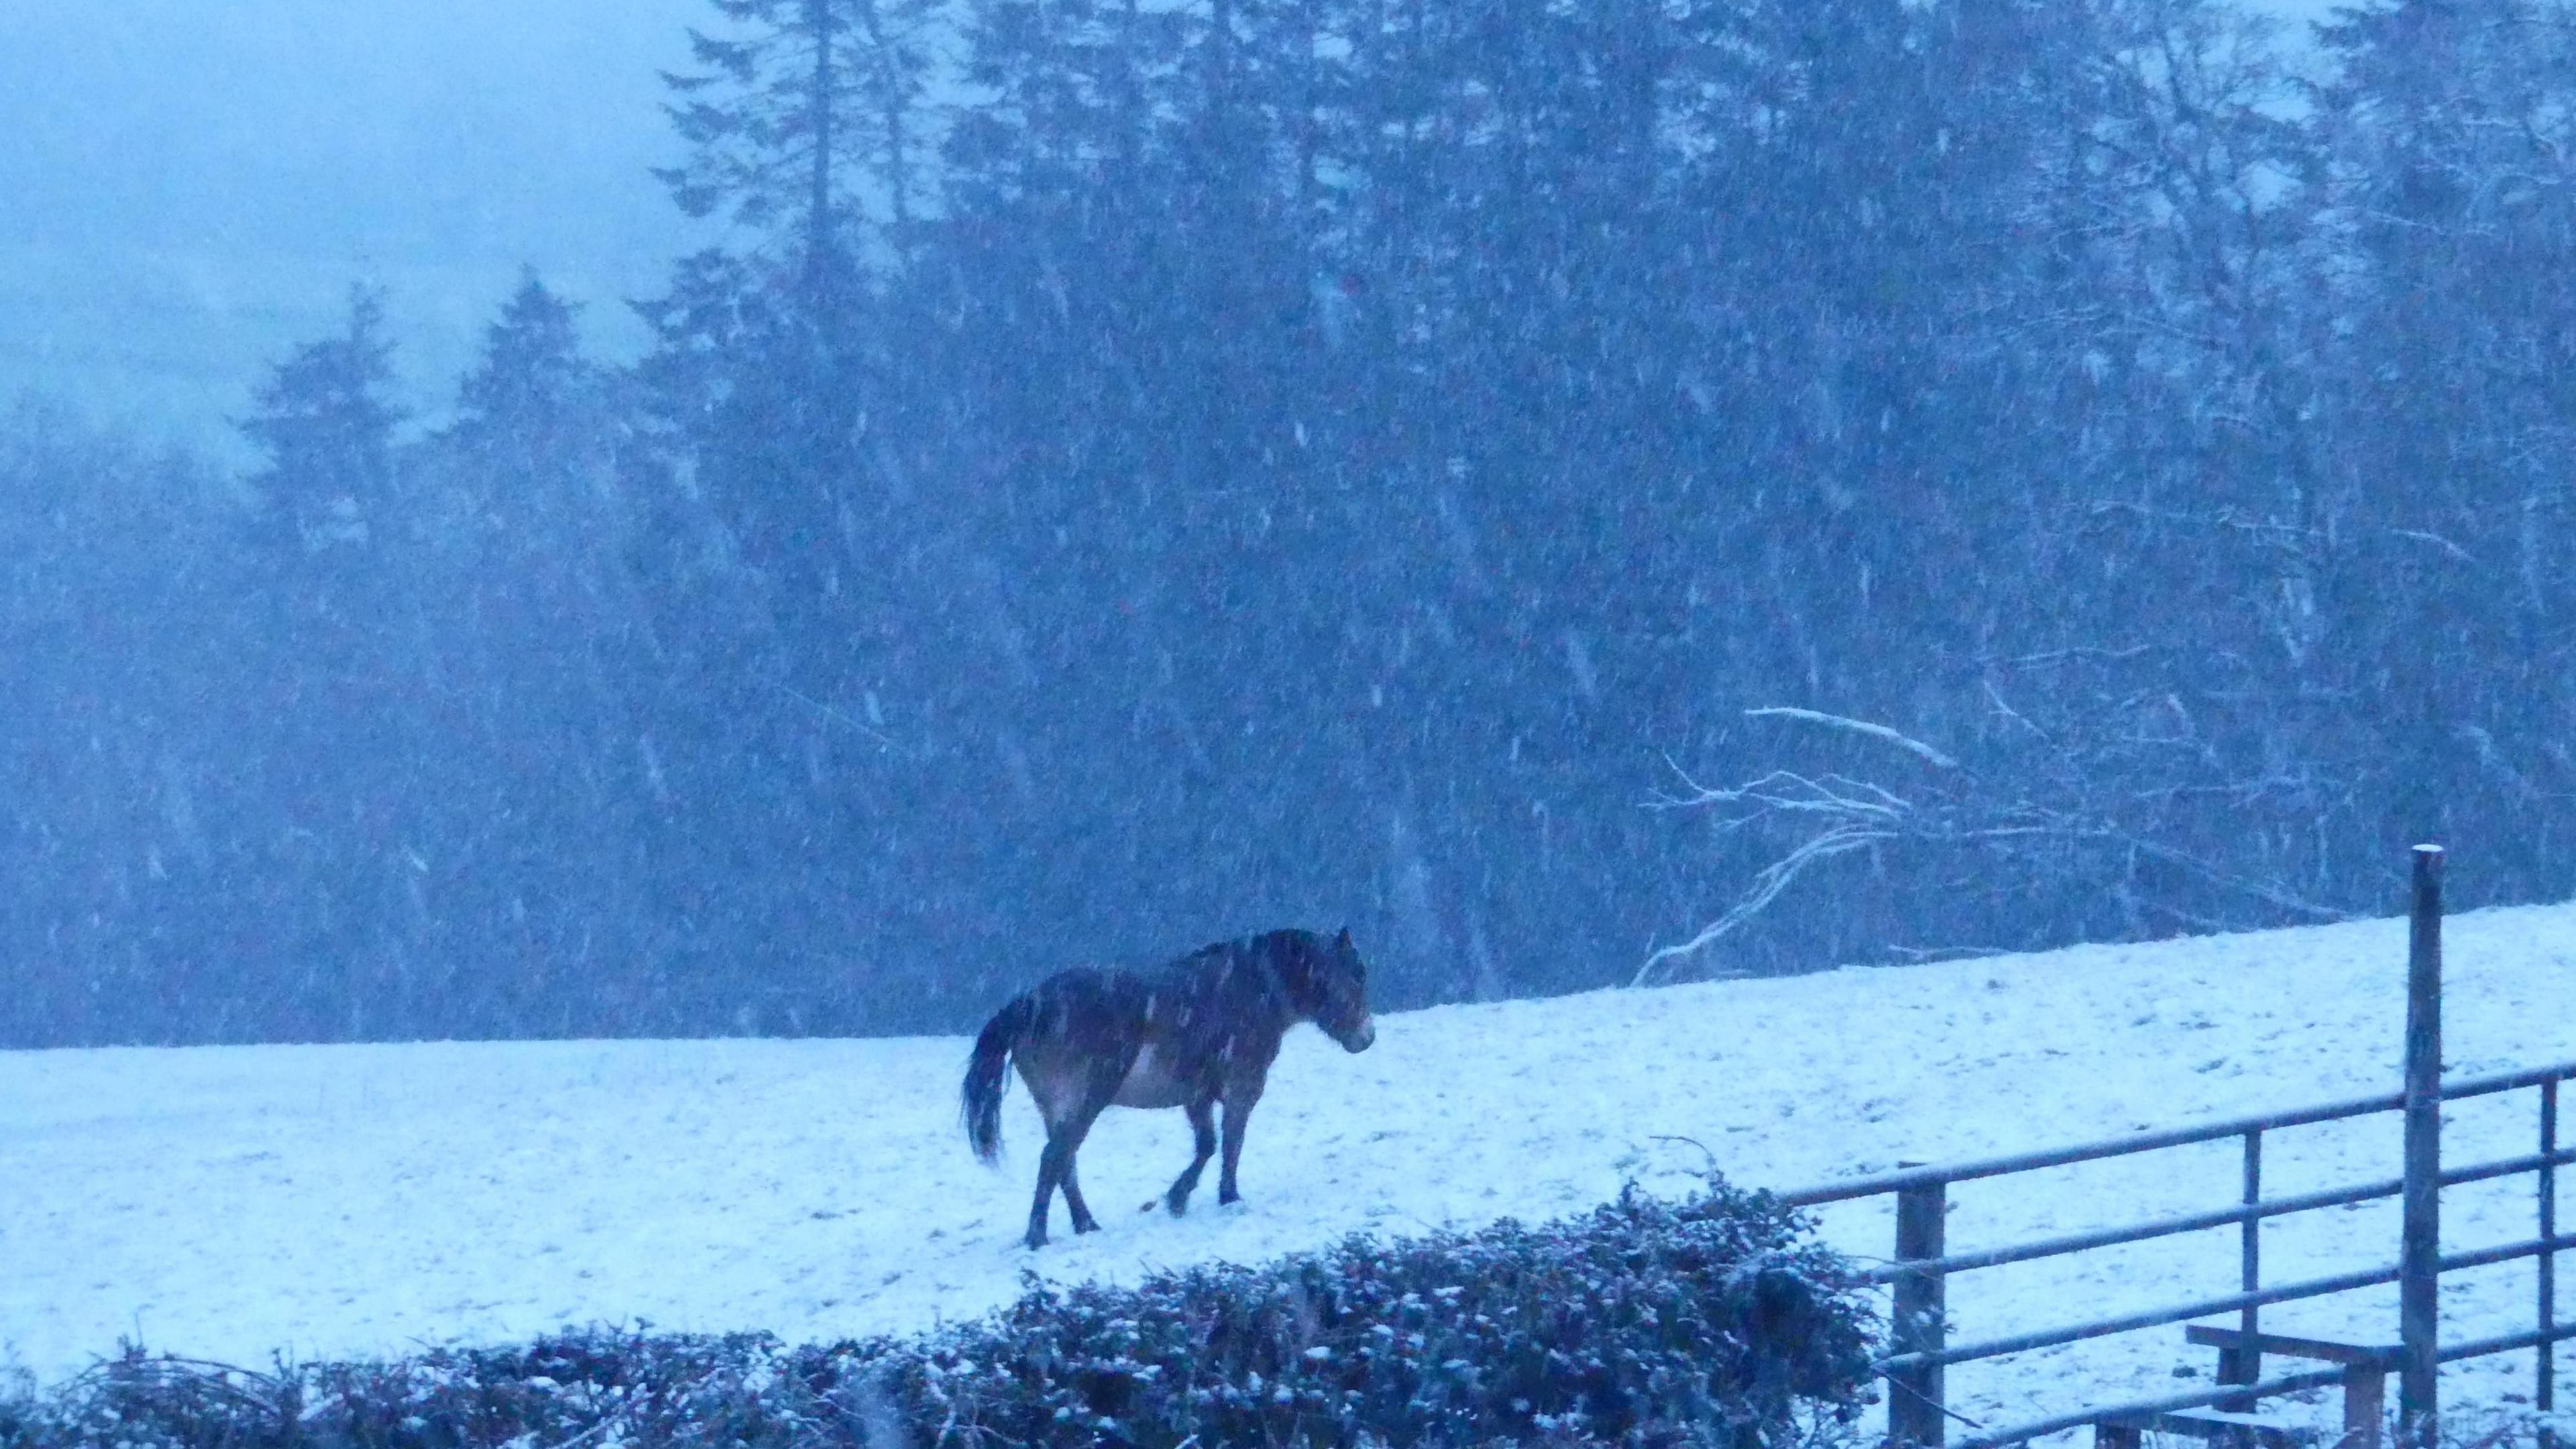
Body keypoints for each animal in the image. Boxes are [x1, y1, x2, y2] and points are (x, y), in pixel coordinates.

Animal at [963, 922, 1370, 1242]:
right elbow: (1231, 1145)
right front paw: (1228, 1198)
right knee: (1055, 1158)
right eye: (1355, 975)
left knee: (1065, 1162)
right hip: (1086, 1100)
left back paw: (1085, 1225)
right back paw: (1039, 1236)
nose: (1367, 1038)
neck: (1249, 989)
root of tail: (1028, 1005)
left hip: (1055, 1107)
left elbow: (1207, 1145)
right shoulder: (1242, 1090)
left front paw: (1178, 1198)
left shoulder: (1197, 1097)